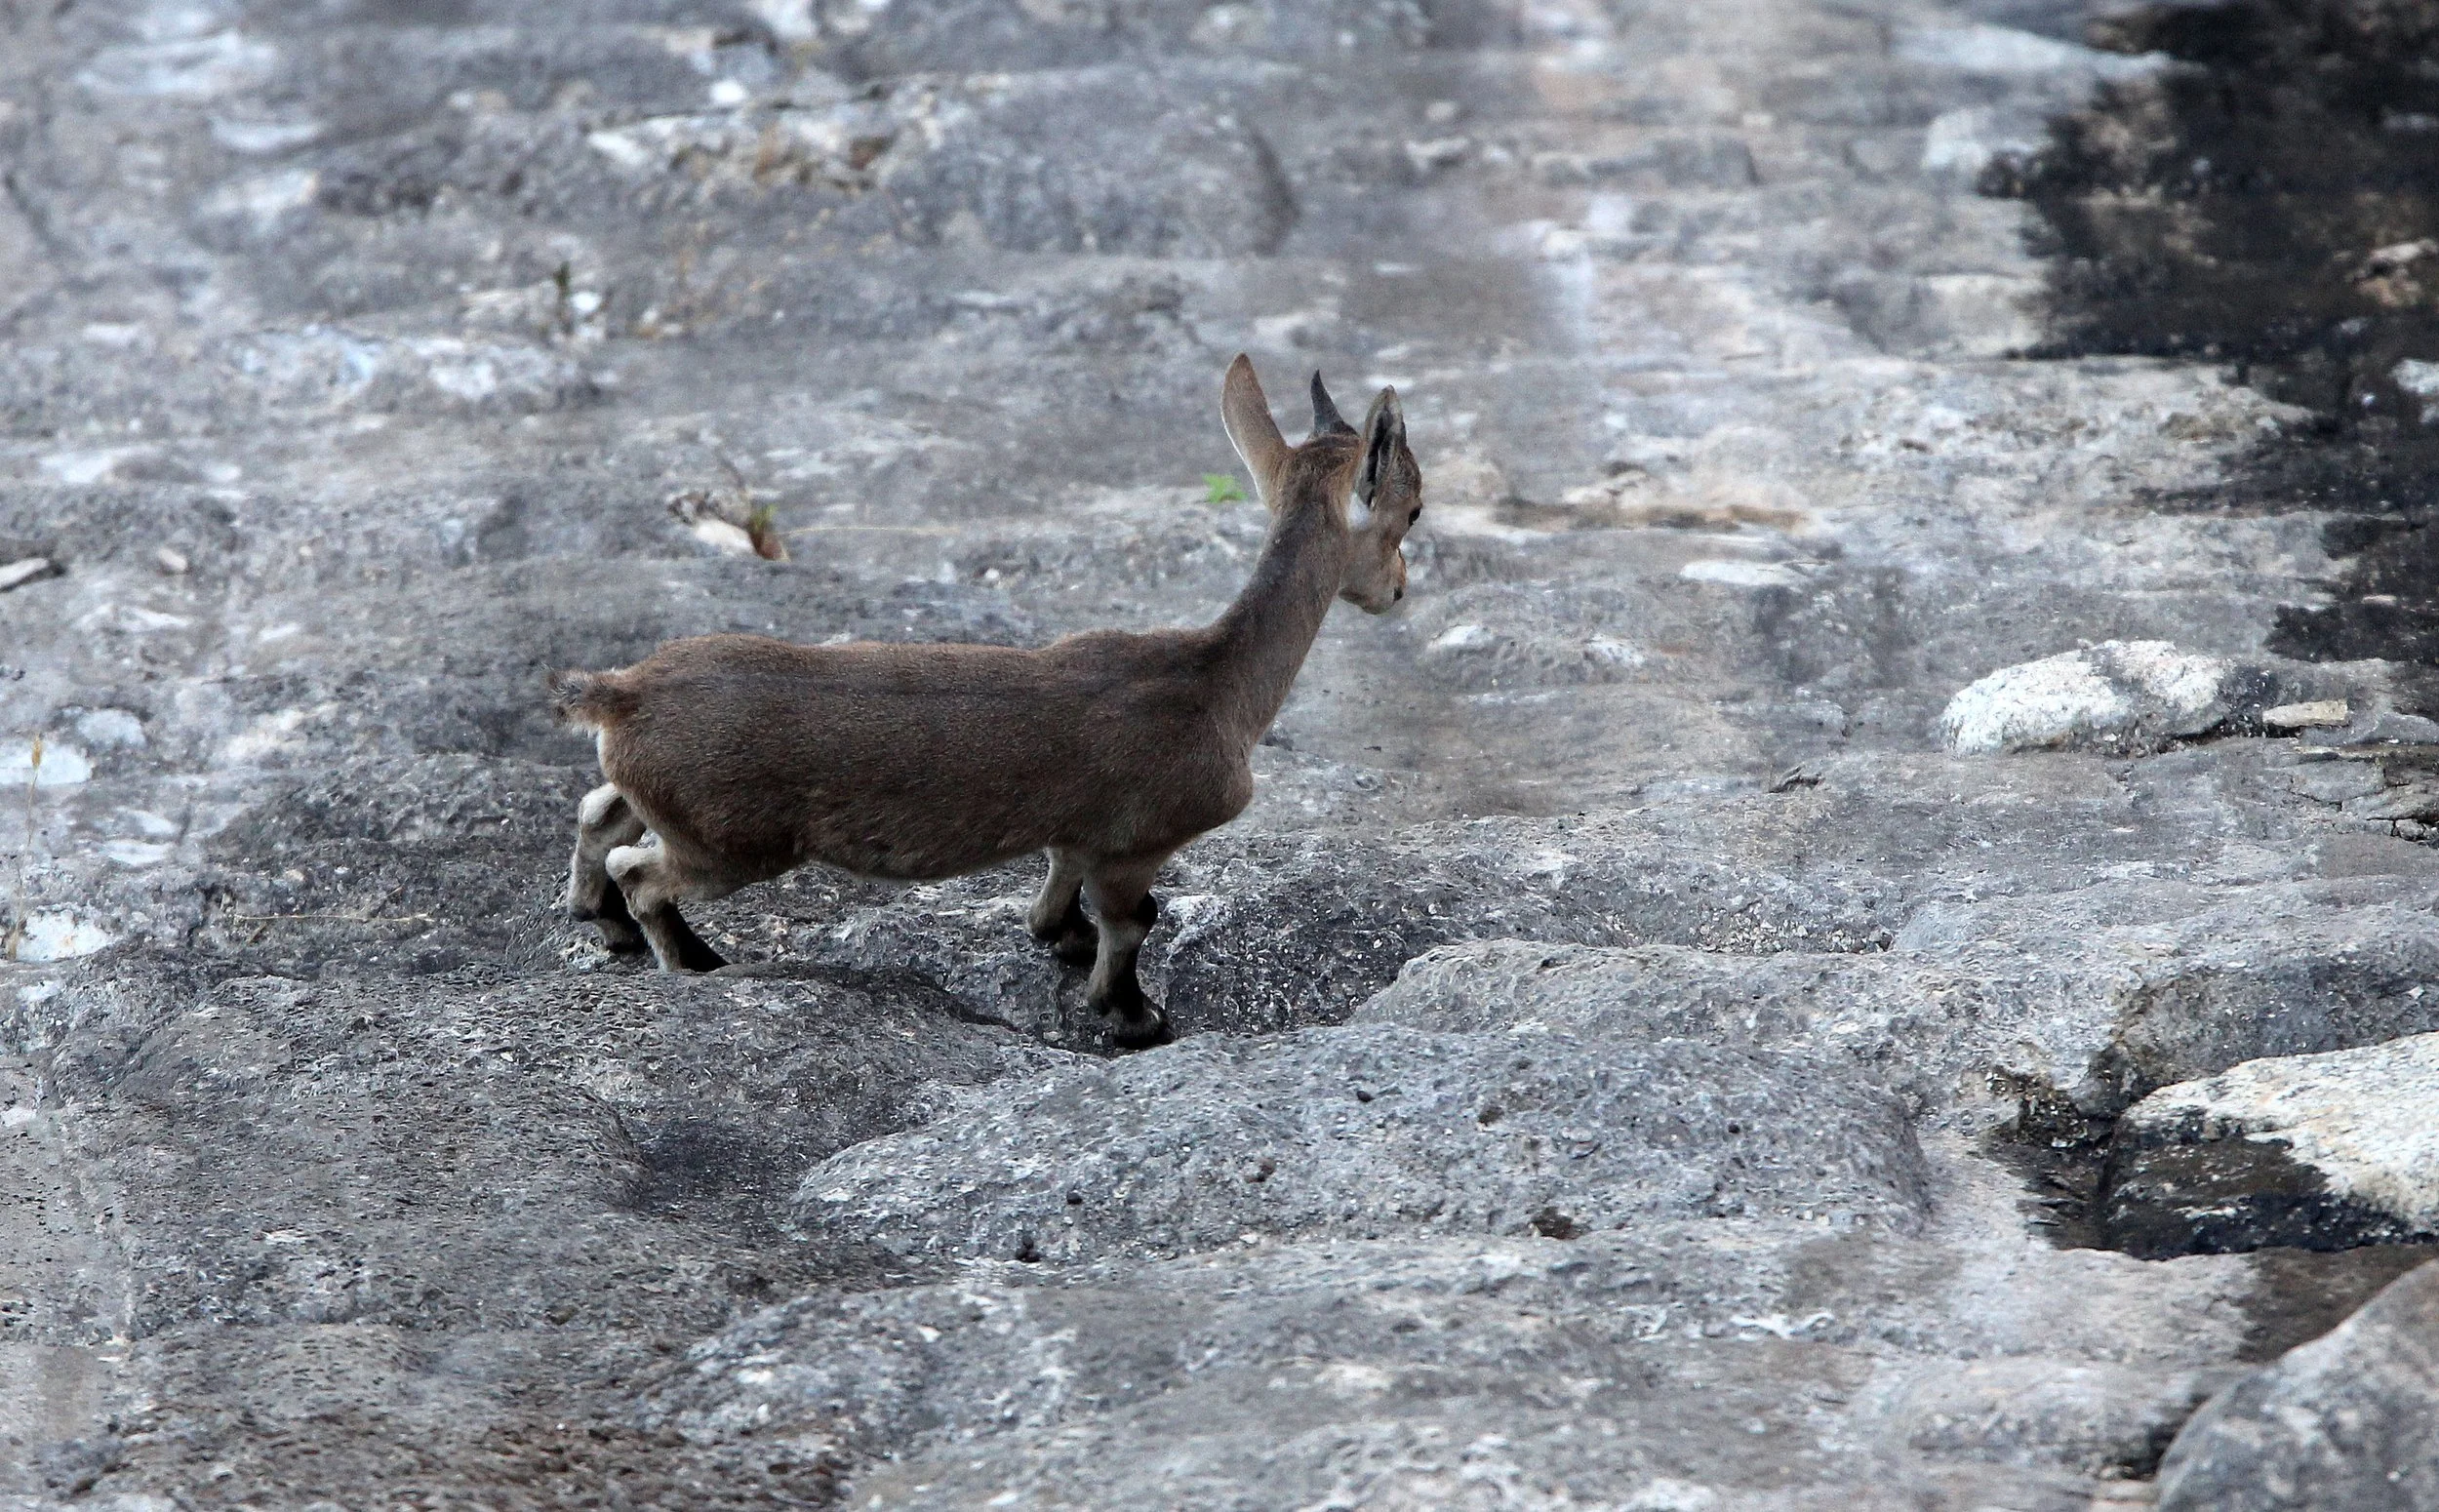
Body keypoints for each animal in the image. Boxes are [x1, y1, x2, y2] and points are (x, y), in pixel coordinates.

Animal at [549, 354, 1422, 1046]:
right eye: (1411, 510)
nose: (1400, 590)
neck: (1216, 681)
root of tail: (621, 695)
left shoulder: (1077, 833)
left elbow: (1057, 901)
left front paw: (1064, 941)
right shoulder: (1140, 839)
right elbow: (1132, 921)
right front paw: (1135, 1017)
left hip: (664, 800)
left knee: (600, 813)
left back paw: (605, 923)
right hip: (731, 843)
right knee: (641, 870)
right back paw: (694, 960)